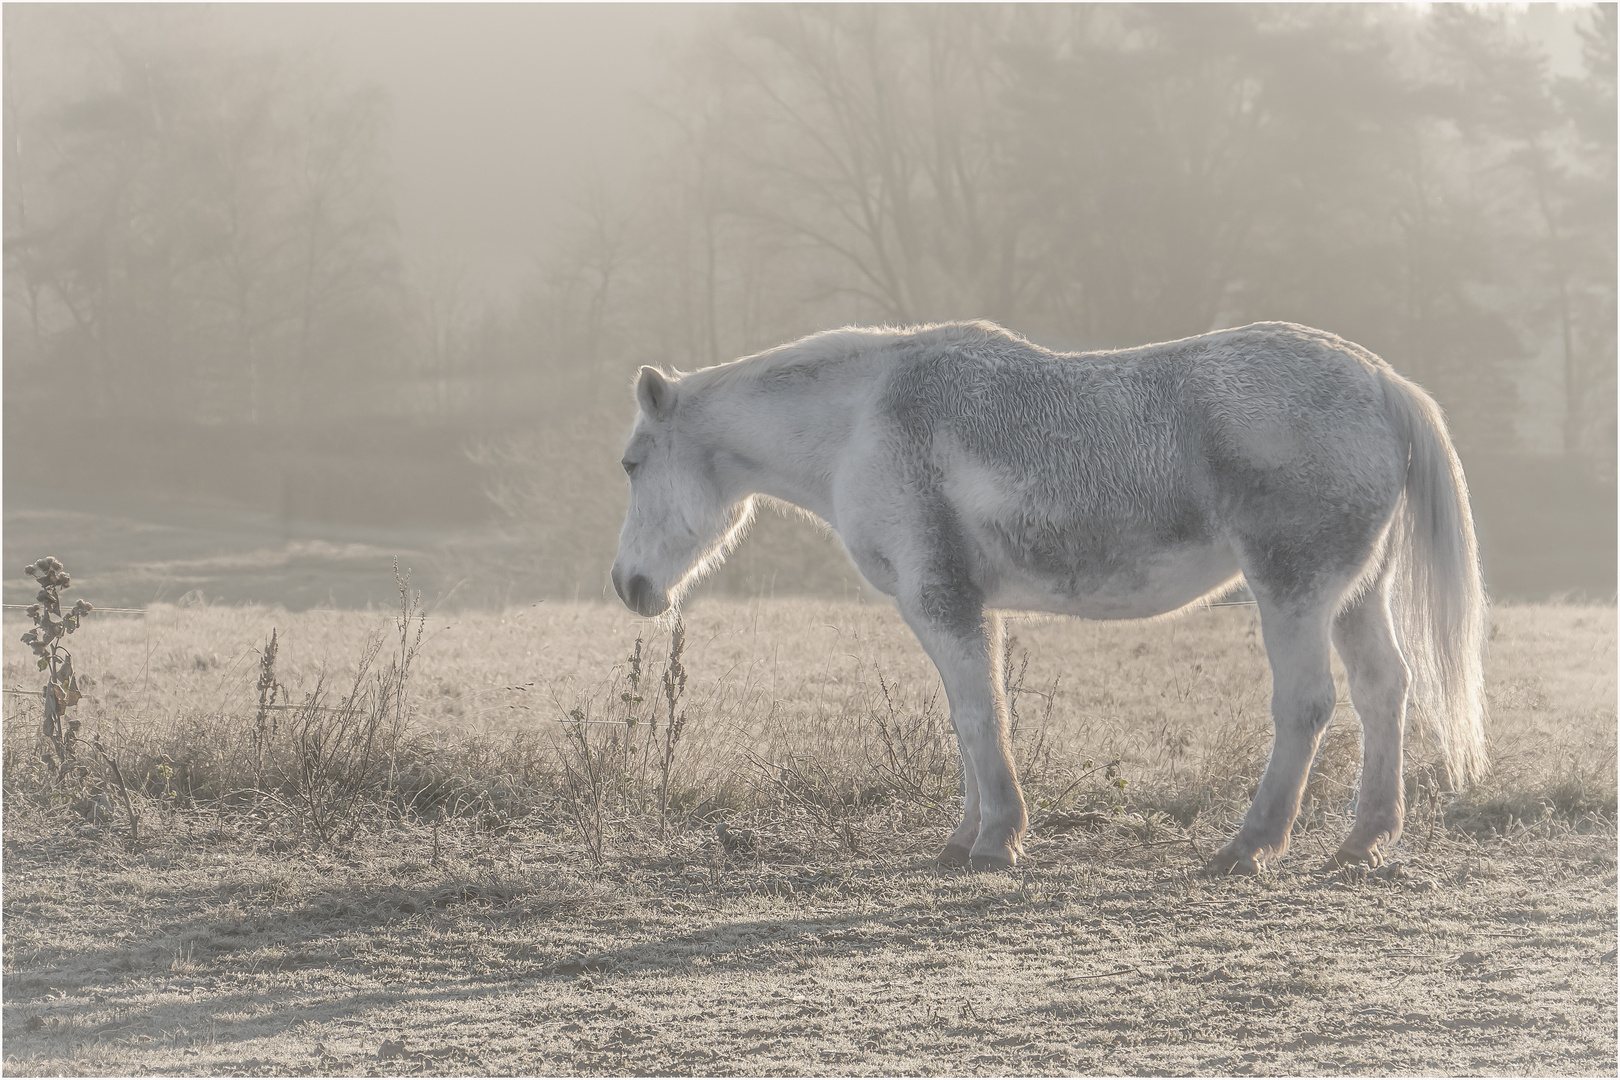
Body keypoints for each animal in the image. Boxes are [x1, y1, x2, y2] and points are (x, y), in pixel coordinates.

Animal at [612, 323, 1483, 880]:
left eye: (631, 462)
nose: (629, 585)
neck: (862, 418)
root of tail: (1380, 381)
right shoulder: (964, 606)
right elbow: (971, 715)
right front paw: (963, 838)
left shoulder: (938, 600)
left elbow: (978, 715)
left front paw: (998, 839)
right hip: (1355, 597)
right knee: (1382, 692)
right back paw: (1364, 840)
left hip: (1292, 592)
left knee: (1306, 706)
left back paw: (1249, 847)